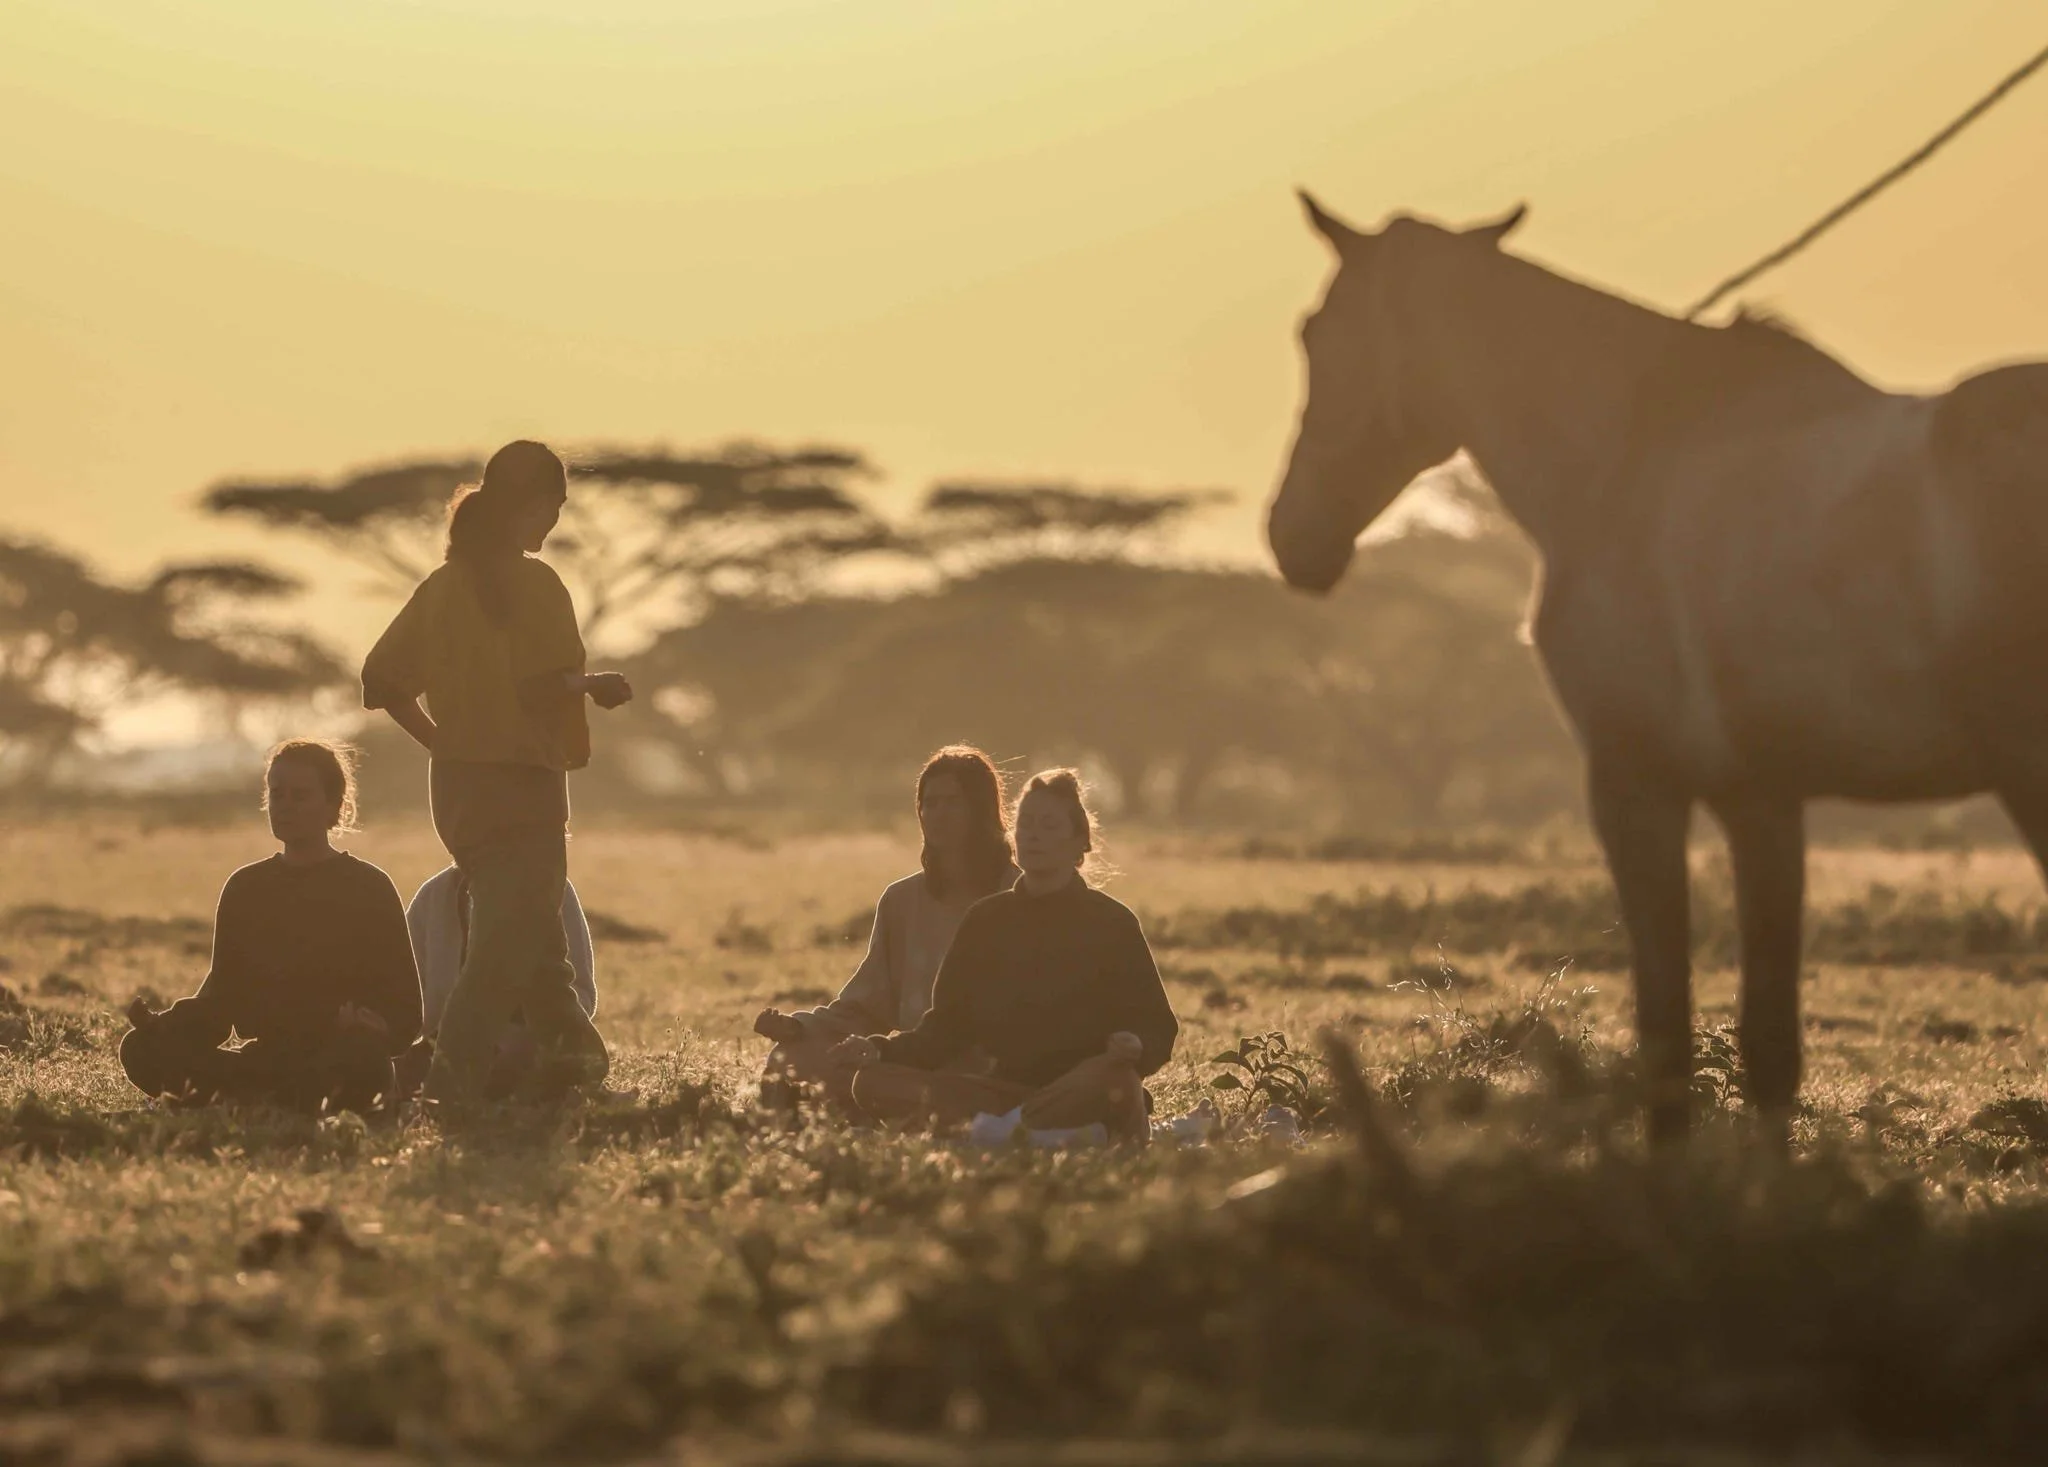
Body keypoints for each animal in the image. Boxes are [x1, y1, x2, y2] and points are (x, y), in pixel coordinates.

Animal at [1267, 193, 2048, 1144]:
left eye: (1320, 332)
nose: (1293, 536)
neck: (1629, 461)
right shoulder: (1761, 797)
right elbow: (1768, 1047)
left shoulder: (1632, 781)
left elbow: (1667, 1032)